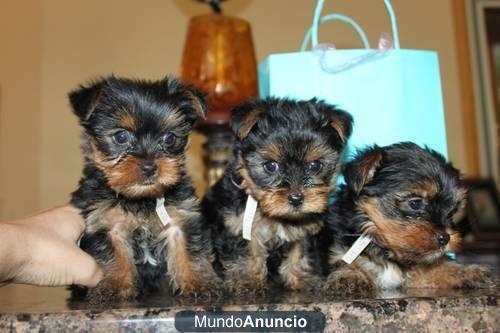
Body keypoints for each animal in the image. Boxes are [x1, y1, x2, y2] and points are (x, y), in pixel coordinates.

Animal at [70, 76, 221, 304]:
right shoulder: (105, 222)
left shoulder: (181, 219)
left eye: (169, 138)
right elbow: (113, 255)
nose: (149, 167)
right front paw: (113, 285)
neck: (141, 199)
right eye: (121, 137)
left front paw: (199, 283)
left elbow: (189, 250)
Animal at [201, 97, 354, 292]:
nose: (296, 198)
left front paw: (302, 278)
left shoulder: (306, 228)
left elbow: (300, 251)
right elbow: (246, 251)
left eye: (315, 166)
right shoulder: (238, 223)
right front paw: (248, 280)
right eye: (271, 166)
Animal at [322, 142, 494, 296]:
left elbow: (437, 267)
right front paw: (350, 276)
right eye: (415, 203)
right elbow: (345, 262)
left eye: (452, 211)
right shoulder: (339, 250)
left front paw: (467, 272)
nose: (446, 238)